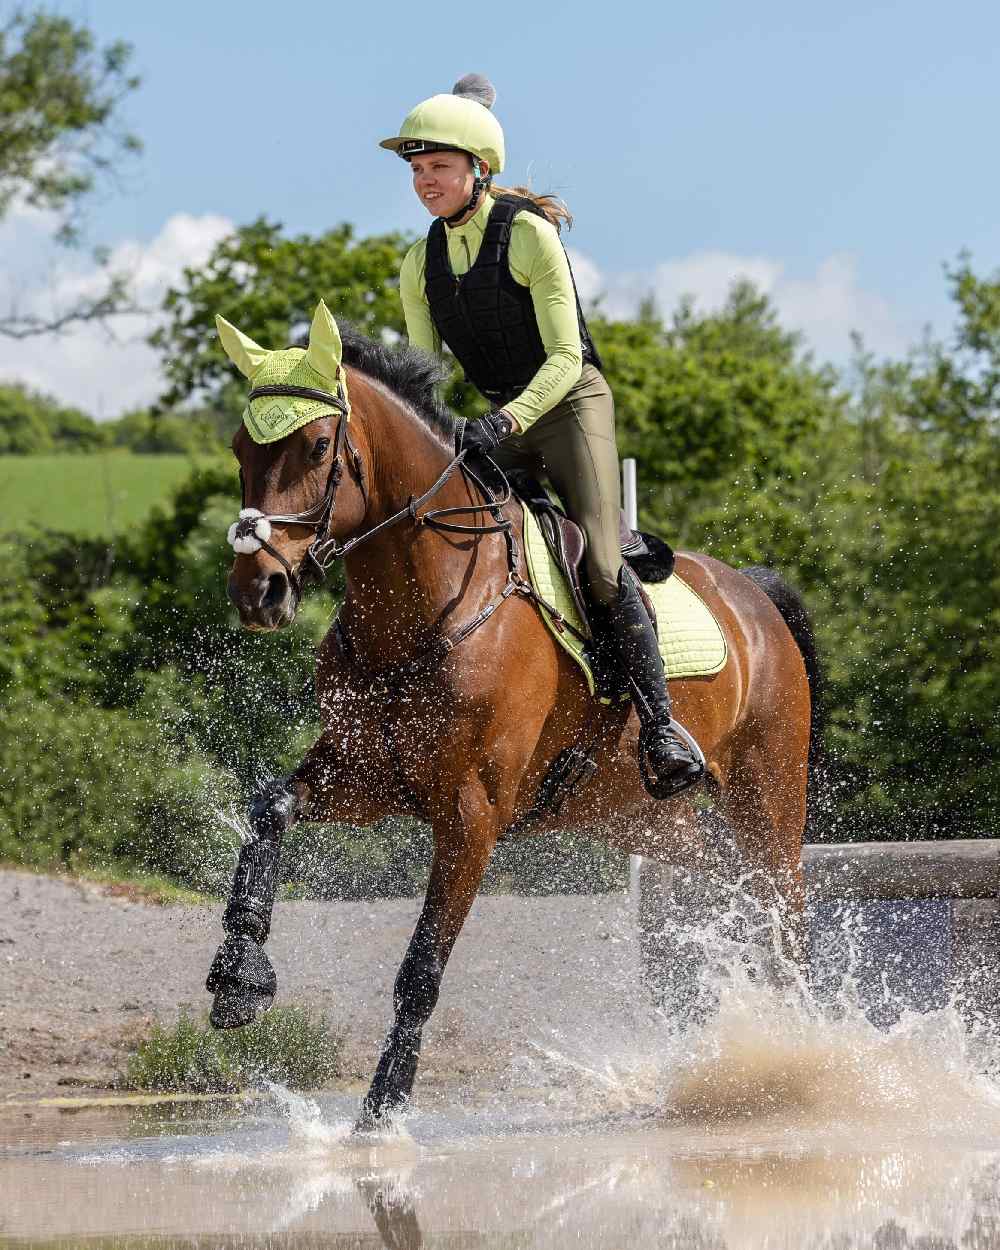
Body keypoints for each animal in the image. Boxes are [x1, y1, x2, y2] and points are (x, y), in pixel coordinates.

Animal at [207, 297, 815, 1130]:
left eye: (319, 445)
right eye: (241, 446)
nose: (256, 591)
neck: (425, 605)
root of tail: (755, 594)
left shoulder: (471, 815)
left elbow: (422, 967)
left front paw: (382, 1112)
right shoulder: (367, 775)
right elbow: (269, 806)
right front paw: (239, 977)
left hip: (768, 794)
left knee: (786, 911)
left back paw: (812, 1053)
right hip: (647, 820)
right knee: (737, 889)